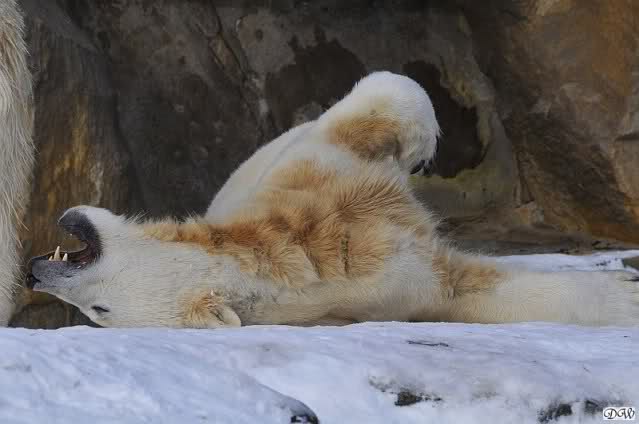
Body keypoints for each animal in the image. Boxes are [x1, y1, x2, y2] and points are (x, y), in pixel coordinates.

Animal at [27, 72, 639, 328]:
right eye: (100, 313)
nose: (35, 273)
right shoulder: (387, 287)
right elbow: (466, 291)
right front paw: (624, 298)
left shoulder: (304, 178)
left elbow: (375, 106)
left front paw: (421, 147)